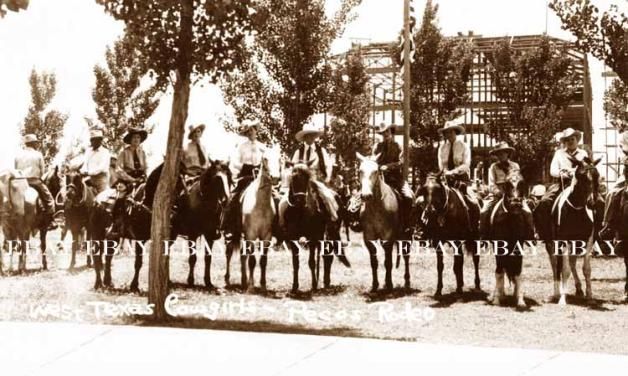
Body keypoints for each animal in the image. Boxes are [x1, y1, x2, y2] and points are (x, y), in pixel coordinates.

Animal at [224, 156, 276, 290]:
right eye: (266, 159)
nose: (275, 177)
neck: (260, 205)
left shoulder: (267, 237)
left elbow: (263, 261)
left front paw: (263, 285)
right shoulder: (251, 235)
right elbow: (252, 261)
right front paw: (251, 286)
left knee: (243, 255)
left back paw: (244, 281)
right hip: (229, 234)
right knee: (229, 253)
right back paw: (227, 280)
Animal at [356, 152, 410, 290]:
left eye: (375, 171)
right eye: (360, 171)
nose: (366, 196)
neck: (377, 207)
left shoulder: (388, 238)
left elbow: (388, 262)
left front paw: (389, 284)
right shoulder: (369, 237)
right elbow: (374, 262)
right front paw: (375, 285)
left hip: (407, 236)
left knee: (406, 256)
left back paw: (407, 281)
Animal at [484, 173, 532, 308]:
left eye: (522, 183)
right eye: (507, 184)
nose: (515, 203)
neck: (510, 221)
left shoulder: (518, 249)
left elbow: (518, 272)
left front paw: (520, 300)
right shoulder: (499, 249)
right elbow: (499, 272)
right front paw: (496, 299)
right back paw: (498, 294)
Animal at [548, 156, 600, 306]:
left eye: (597, 176)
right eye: (582, 177)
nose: (592, 203)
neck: (576, 211)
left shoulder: (588, 240)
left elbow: (586, 269)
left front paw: (589, 297)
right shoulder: (564, 241)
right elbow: (564, 270)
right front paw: (562, 299)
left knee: (571, 262)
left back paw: (579, 289)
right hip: (553, 243)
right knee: (556, 265)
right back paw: (556, 293)